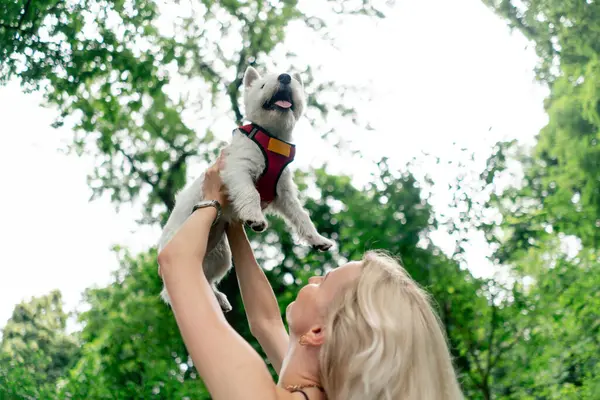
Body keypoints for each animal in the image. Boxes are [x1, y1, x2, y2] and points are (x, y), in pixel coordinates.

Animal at [157, 66, 336, 312]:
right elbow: (251, 193)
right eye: (263, 85)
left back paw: (219, 299)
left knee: (205, 279)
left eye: (293, 82)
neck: (272, 138)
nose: (285, 77)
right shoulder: (239, 170)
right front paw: (255, 218)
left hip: (220, 255)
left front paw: (318, 239)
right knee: (172, 290)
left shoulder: (284, 193)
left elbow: (301, 216)